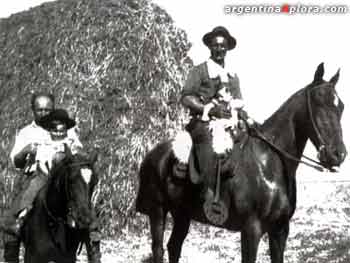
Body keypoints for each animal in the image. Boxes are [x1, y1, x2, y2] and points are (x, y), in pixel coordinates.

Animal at [135, 64, 346, 263]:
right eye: (318, 101)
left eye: (341, 106)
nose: (338, 154)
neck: (269, 164)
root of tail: (151, 154)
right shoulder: (251, 230)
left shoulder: (280, 230)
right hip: (157, 211)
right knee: (158, 249)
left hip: (182, 214)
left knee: (174, 247)